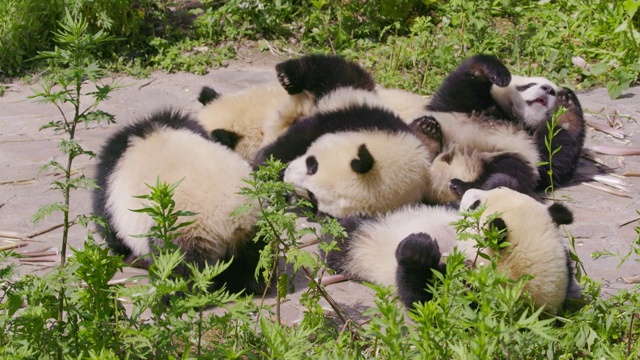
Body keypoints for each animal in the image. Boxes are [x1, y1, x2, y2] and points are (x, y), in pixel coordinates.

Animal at [92, 109, 264, 296]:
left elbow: (110, 228)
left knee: (179, 266)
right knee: (254, 260)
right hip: (256, 228)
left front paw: (130, 256)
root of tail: (231, 218)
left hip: (184, 230)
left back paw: (173, 293)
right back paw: (251, 284)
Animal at [328, 187, 584, 314]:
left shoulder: (472, 296)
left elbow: (427, 300)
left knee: (346, 241)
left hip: (365, 249)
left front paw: (418, 249)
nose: (467, 191)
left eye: (475, 205)